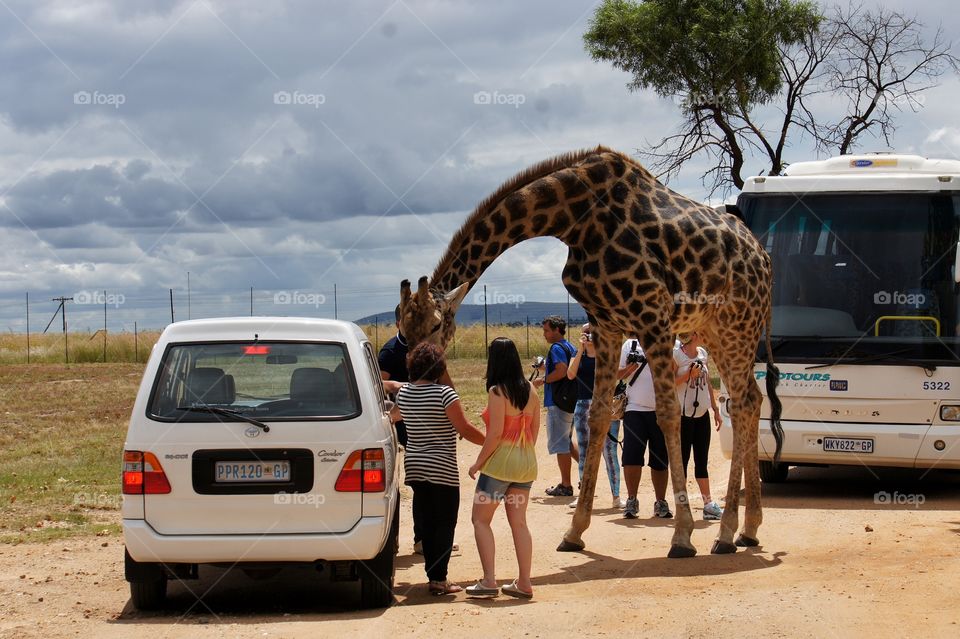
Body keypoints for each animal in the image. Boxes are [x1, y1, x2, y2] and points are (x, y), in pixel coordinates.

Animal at [398, 148, 780, 556]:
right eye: (403, 329)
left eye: (435, 326)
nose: (415, 378)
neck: (573, 219)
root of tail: (764, 259)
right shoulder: (606, 324)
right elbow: (597, 416)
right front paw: (574, 532)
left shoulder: (653, 318)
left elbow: (667, 414)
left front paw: (682, 536)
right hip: (715, 330)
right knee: (749, 399)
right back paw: (746, 530)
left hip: (737, 324)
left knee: (742, 401)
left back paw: (726, 533)